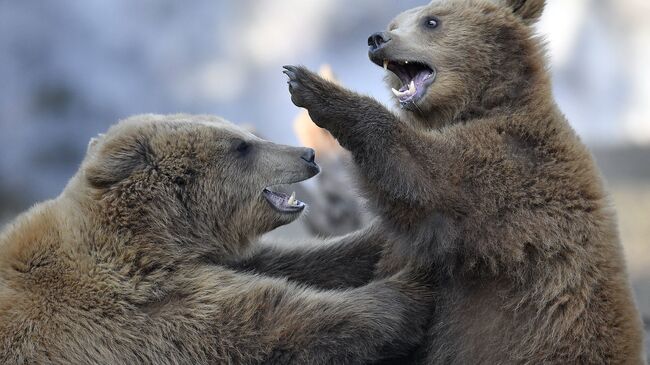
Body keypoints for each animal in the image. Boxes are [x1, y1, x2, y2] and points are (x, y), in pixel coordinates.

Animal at [1, 114, 436, 364]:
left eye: (243, 134)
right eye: (242, 146)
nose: (308, 155)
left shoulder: (208, 257)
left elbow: (299, 262)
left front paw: (383, 235)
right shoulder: (139, 311)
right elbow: (273, 319)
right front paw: (414, 282)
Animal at [280, 0, 644, 362]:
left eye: (431, 21)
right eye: (395, 23)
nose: (377, 38)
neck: (478, 104)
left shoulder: (514, 166)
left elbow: (425, 177)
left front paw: (313, 87)